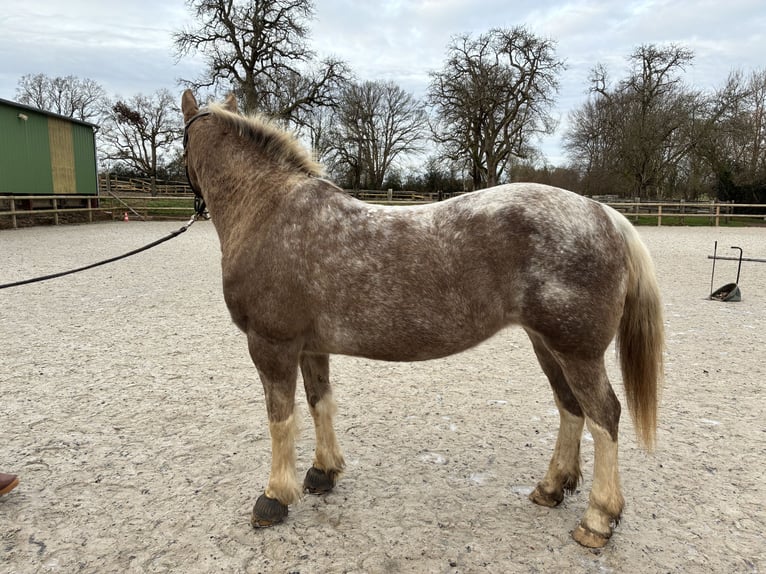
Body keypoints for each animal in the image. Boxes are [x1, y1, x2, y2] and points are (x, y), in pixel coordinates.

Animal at [181, 89, 664, 548]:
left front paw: (274, 497)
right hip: (547, 345)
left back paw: (597, 519)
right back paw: (551, 488)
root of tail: (606, 215)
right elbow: (320, 403)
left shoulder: (271, 345)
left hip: (577, 352)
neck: (269, 210)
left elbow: (280, 419)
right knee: (570, 408)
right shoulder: (310, 347)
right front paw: (323, 472)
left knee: (604, 416)